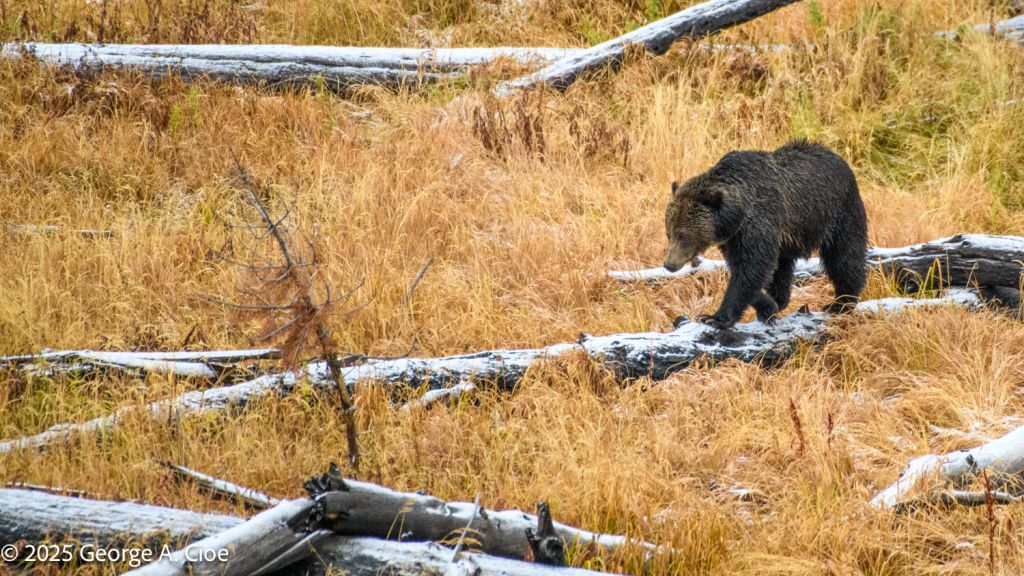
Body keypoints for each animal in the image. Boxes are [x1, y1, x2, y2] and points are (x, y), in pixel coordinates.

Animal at [664, 140, 868, 330]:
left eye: (683, 236)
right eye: (669, 233)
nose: (669, 264)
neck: (738, 214)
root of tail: (839, 157)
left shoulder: (759, 223)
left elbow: (753, 268)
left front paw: (714, 318)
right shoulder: (734, 238)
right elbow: (746, 270)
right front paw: (768, 305)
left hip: (839, 212)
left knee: (844, 258)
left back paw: (841, 303)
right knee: (782, 268)